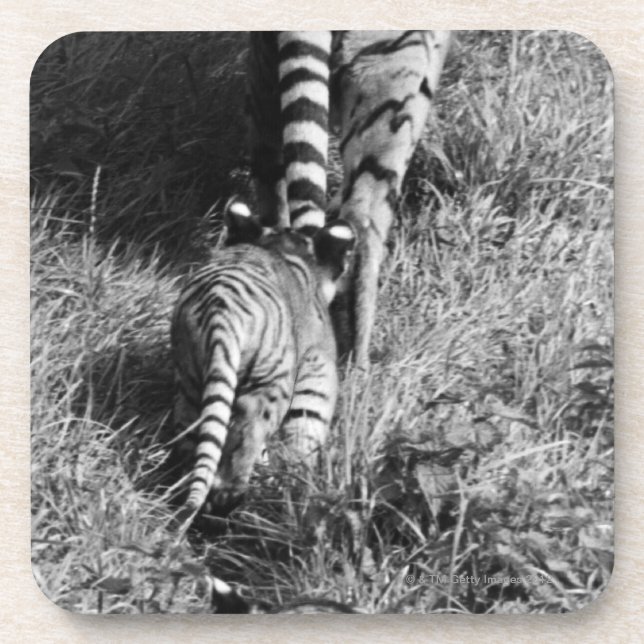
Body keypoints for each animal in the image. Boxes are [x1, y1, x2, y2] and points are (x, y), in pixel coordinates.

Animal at [171, 201, 355, 519]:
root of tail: (219, 310)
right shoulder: (317, 367)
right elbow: (306, 427)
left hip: (192, 379)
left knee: (198, 434)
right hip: (271, 382)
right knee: (249, 429)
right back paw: (234, 494)